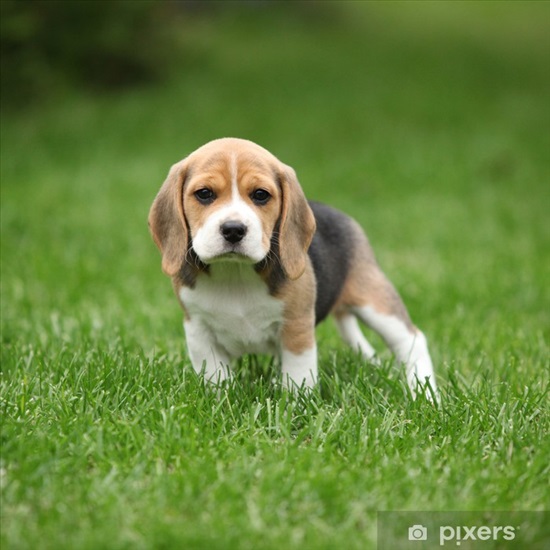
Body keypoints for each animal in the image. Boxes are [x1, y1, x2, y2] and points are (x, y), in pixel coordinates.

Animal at [148, 137, 440, 396]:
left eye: (260, 195)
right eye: (204, 194)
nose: (233, 230)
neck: (235, 273)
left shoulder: (297, 328)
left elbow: (298, 377)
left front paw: (295, 407)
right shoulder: (198, 330)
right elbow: (216, 377)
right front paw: (221, 401)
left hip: (373, 299)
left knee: (412, 340)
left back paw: (425, 395)